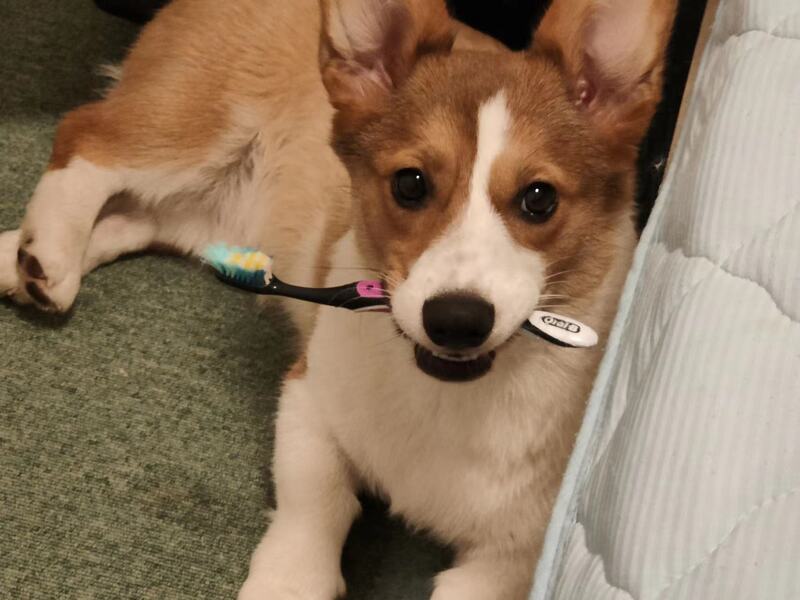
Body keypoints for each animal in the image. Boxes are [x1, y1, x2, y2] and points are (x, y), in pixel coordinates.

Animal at [0, 0, 676, 597]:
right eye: (410, 184)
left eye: (540, 199)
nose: (456, 321)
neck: (446, 398)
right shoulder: (309, 399)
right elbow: (314, 503)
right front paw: (289, 582)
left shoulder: (510, 558)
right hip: (188, 126)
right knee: (86, 138)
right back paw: (48, 252)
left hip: (199, 212)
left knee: (130, 219)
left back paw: (25, 260)